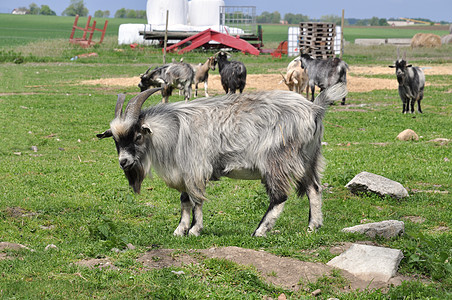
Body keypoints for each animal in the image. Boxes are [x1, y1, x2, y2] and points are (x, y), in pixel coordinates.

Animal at [97, 84, 348, 237]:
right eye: (116, 141)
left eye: (137, 136)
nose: (123, 162)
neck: (175, 130)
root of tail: (314, 108)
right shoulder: (185, 171)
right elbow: (184, 200)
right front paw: (180, 230)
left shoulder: (195, 169)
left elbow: (196, 200)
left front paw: (194, 230)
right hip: (308, 158)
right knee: (314, 188)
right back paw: (313, 226)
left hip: (277, 160)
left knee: (279, 197)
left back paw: (259, 231)